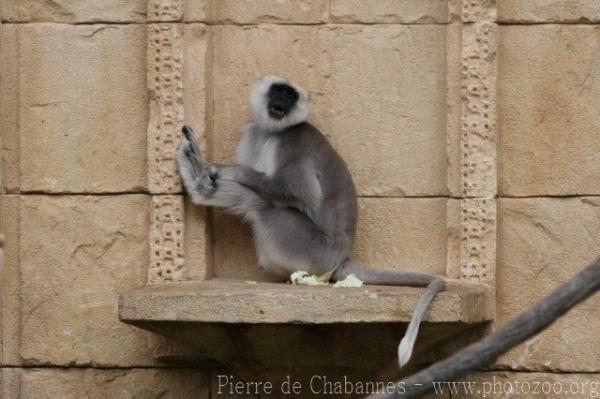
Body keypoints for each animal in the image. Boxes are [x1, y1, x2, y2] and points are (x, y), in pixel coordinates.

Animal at [177, 75, 446, 368]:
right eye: (278, 91)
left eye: (290, 96)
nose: (281, 102)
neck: (272, 131)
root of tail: (341, 257)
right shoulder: (253, 132)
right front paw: (206, 173)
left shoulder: (294, 139)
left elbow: (297, 192)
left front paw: (222, 169)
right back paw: (198, 184)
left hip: (310, 248)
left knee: (264, 205)